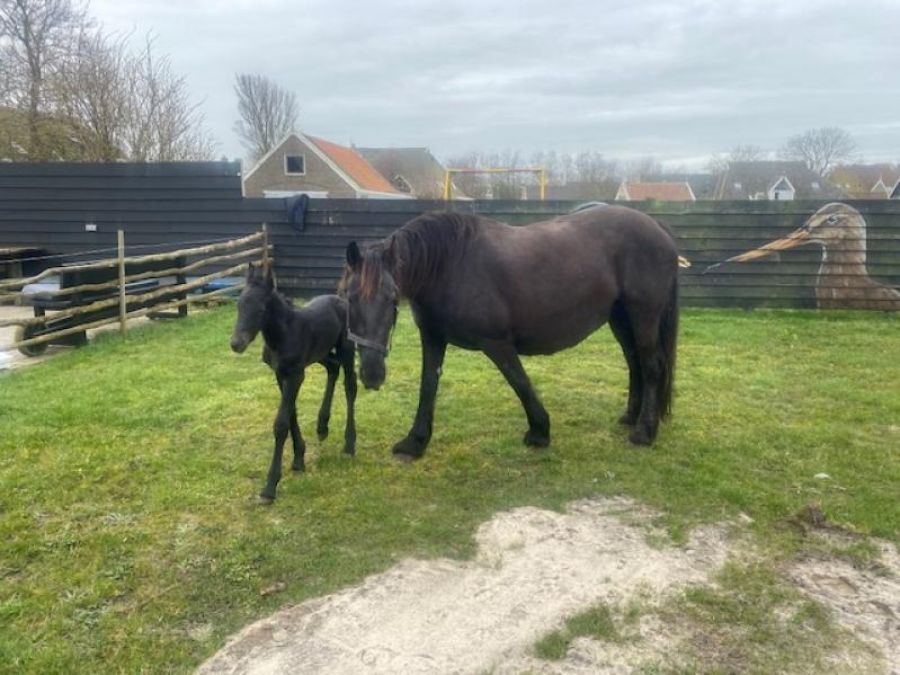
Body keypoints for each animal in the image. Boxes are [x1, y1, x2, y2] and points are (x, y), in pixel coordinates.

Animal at [230, 264, 357, 503]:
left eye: (261, 309)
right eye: (239, 305)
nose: (236, 344)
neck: (283, 334)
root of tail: (340, 299)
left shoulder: (296, 374)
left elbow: (281, 423)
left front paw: (270, 487)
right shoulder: (281, 374)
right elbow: (291, 415)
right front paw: (299, 459)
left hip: (346, 349)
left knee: (350, 387)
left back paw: (349, 444)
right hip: (321, 353)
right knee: (333, 367)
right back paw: (322, 426)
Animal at [340, 205, 680, 461]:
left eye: (391, 298)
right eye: (349, 297)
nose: (371, 374)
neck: (449, 266)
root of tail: (656, 226)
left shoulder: (497, 343)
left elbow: (519, 382)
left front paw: (540, 431)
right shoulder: (433, 337)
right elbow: (428, 386)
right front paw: (415, 442)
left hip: (643, 315)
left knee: (651, 366)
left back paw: (644, 432)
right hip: (621, 318)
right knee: (634, 362)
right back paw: (631, 417)